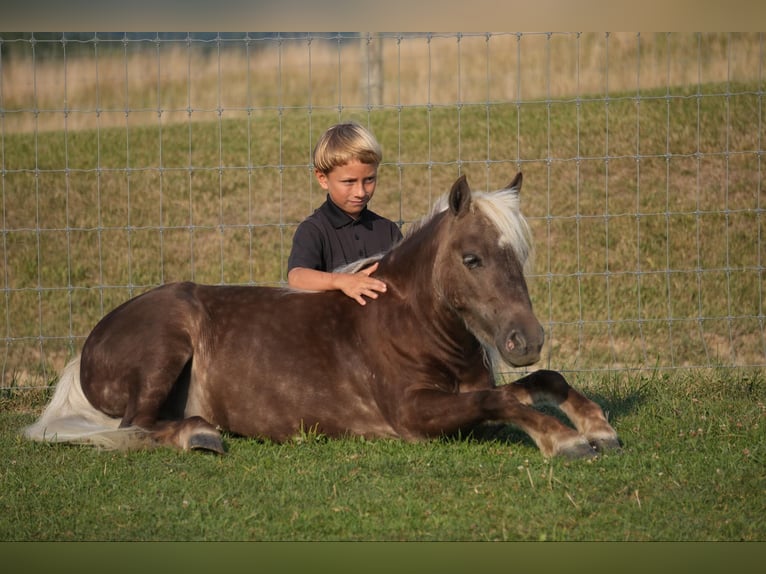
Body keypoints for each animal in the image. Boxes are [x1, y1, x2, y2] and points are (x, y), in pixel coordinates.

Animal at [24, 173, 624, 462]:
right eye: (472, 258)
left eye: (518, 254)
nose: (527, 339)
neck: (406, 325)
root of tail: (90, 345)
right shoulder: (414, 416)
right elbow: (501, 401)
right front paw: (567, 440)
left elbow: (540, 382)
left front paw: (597, 425)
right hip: (165, 346)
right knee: (135, 427)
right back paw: (200, 435)